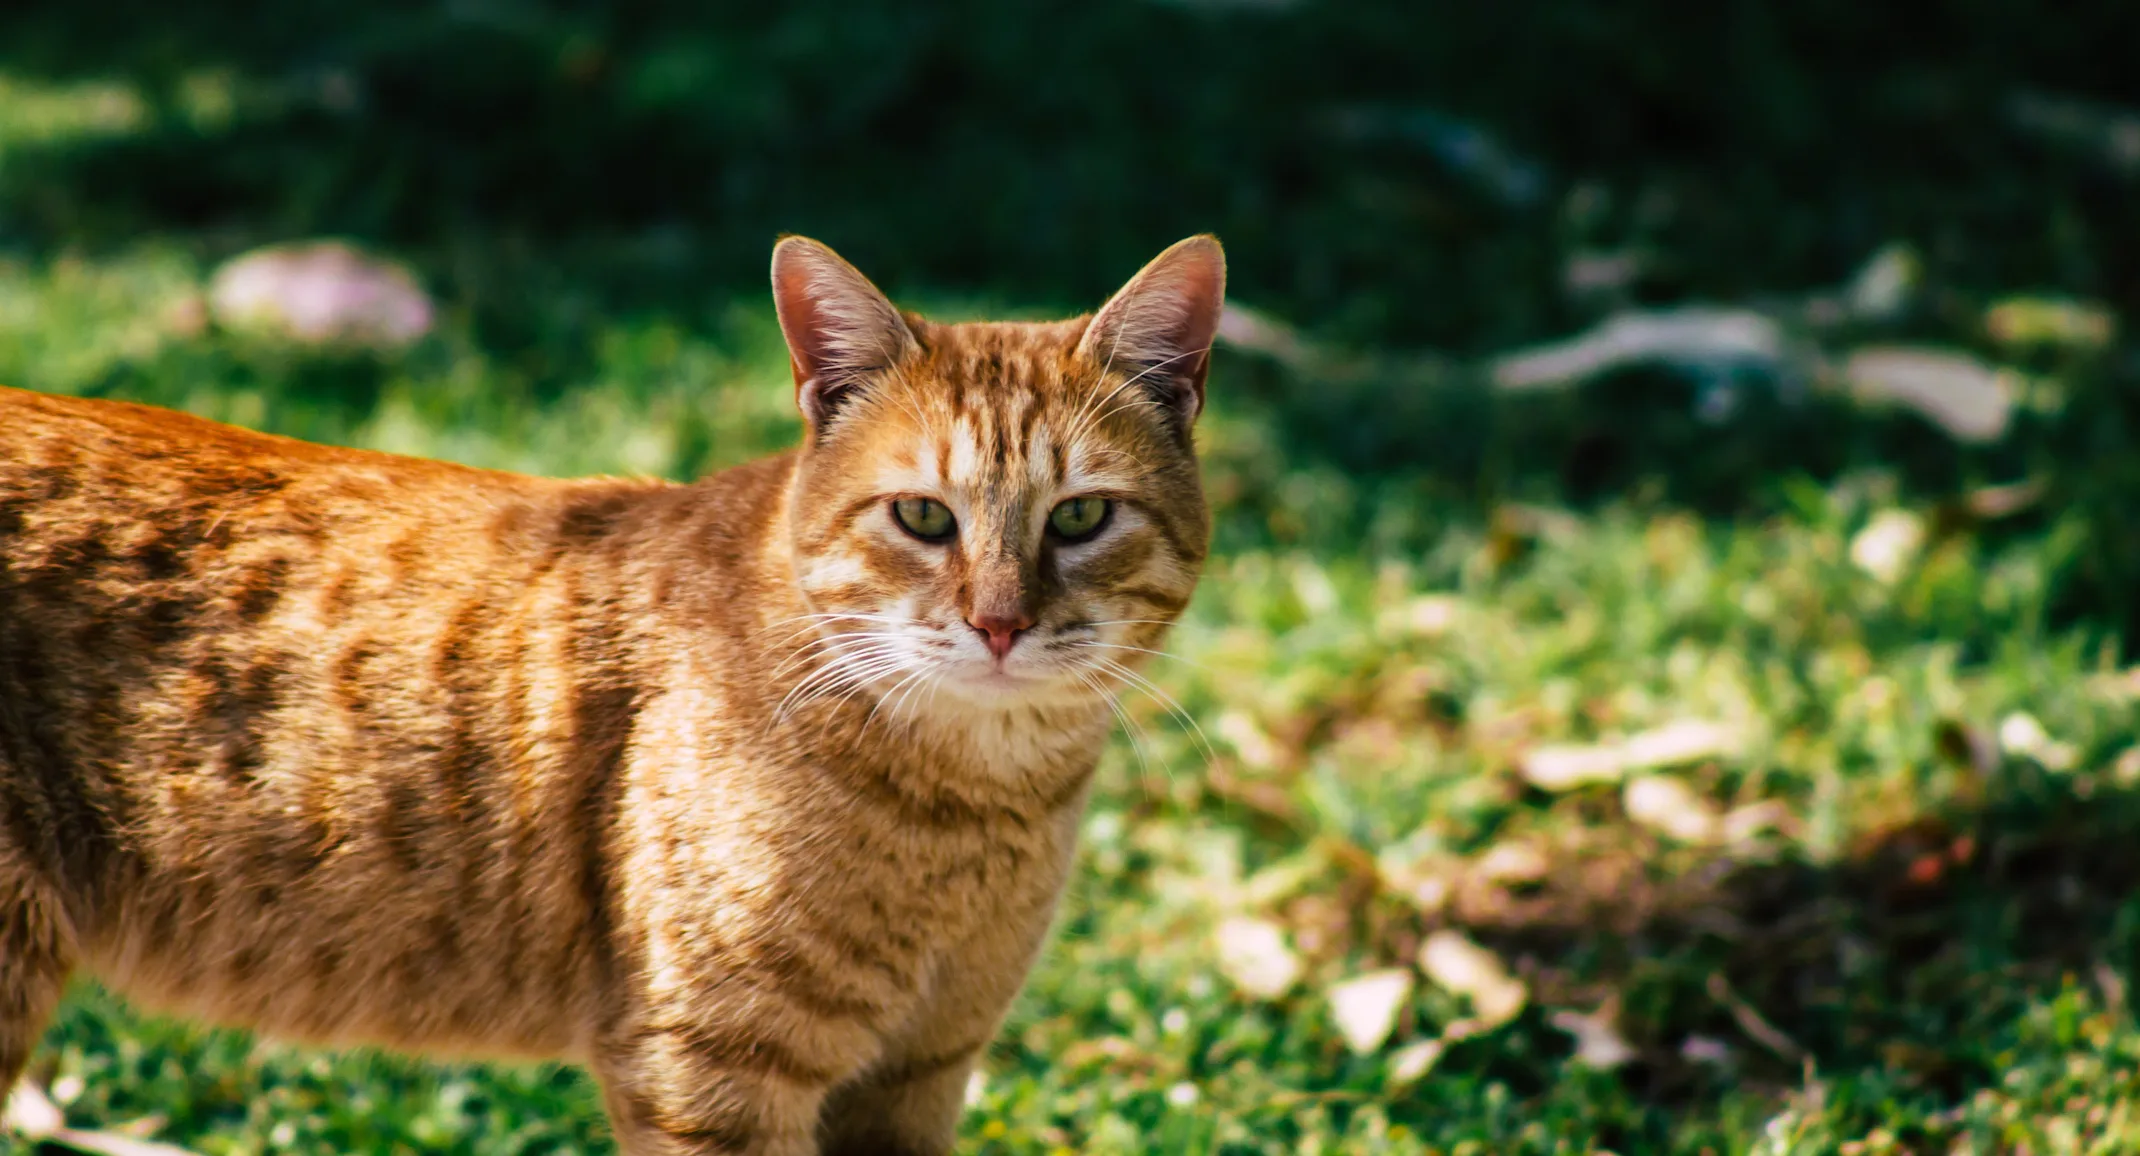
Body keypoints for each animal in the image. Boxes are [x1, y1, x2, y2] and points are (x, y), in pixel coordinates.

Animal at [0, 236, 1224, 1156]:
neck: (971, 808)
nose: (999, 624)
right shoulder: (712, 1073)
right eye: (923, 517)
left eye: (1080, 516)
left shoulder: (918, 1074)